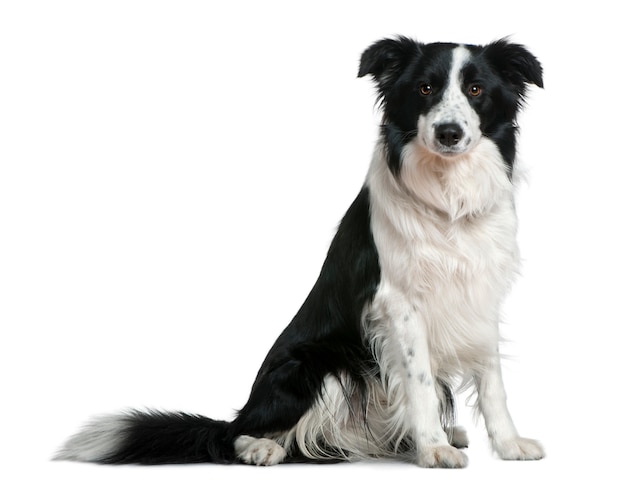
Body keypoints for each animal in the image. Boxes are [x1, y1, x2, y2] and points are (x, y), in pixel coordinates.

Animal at [61, 37, 544, 468]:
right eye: (425, 89)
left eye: (476, 90)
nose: (448, 133)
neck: (449, 197)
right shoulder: (399, 304)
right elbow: (420, 382)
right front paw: (433, 450)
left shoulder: (480, 294)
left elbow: (493, 384)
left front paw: (509, 444)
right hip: (318, 364)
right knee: (239, 435)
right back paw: (263, 448)